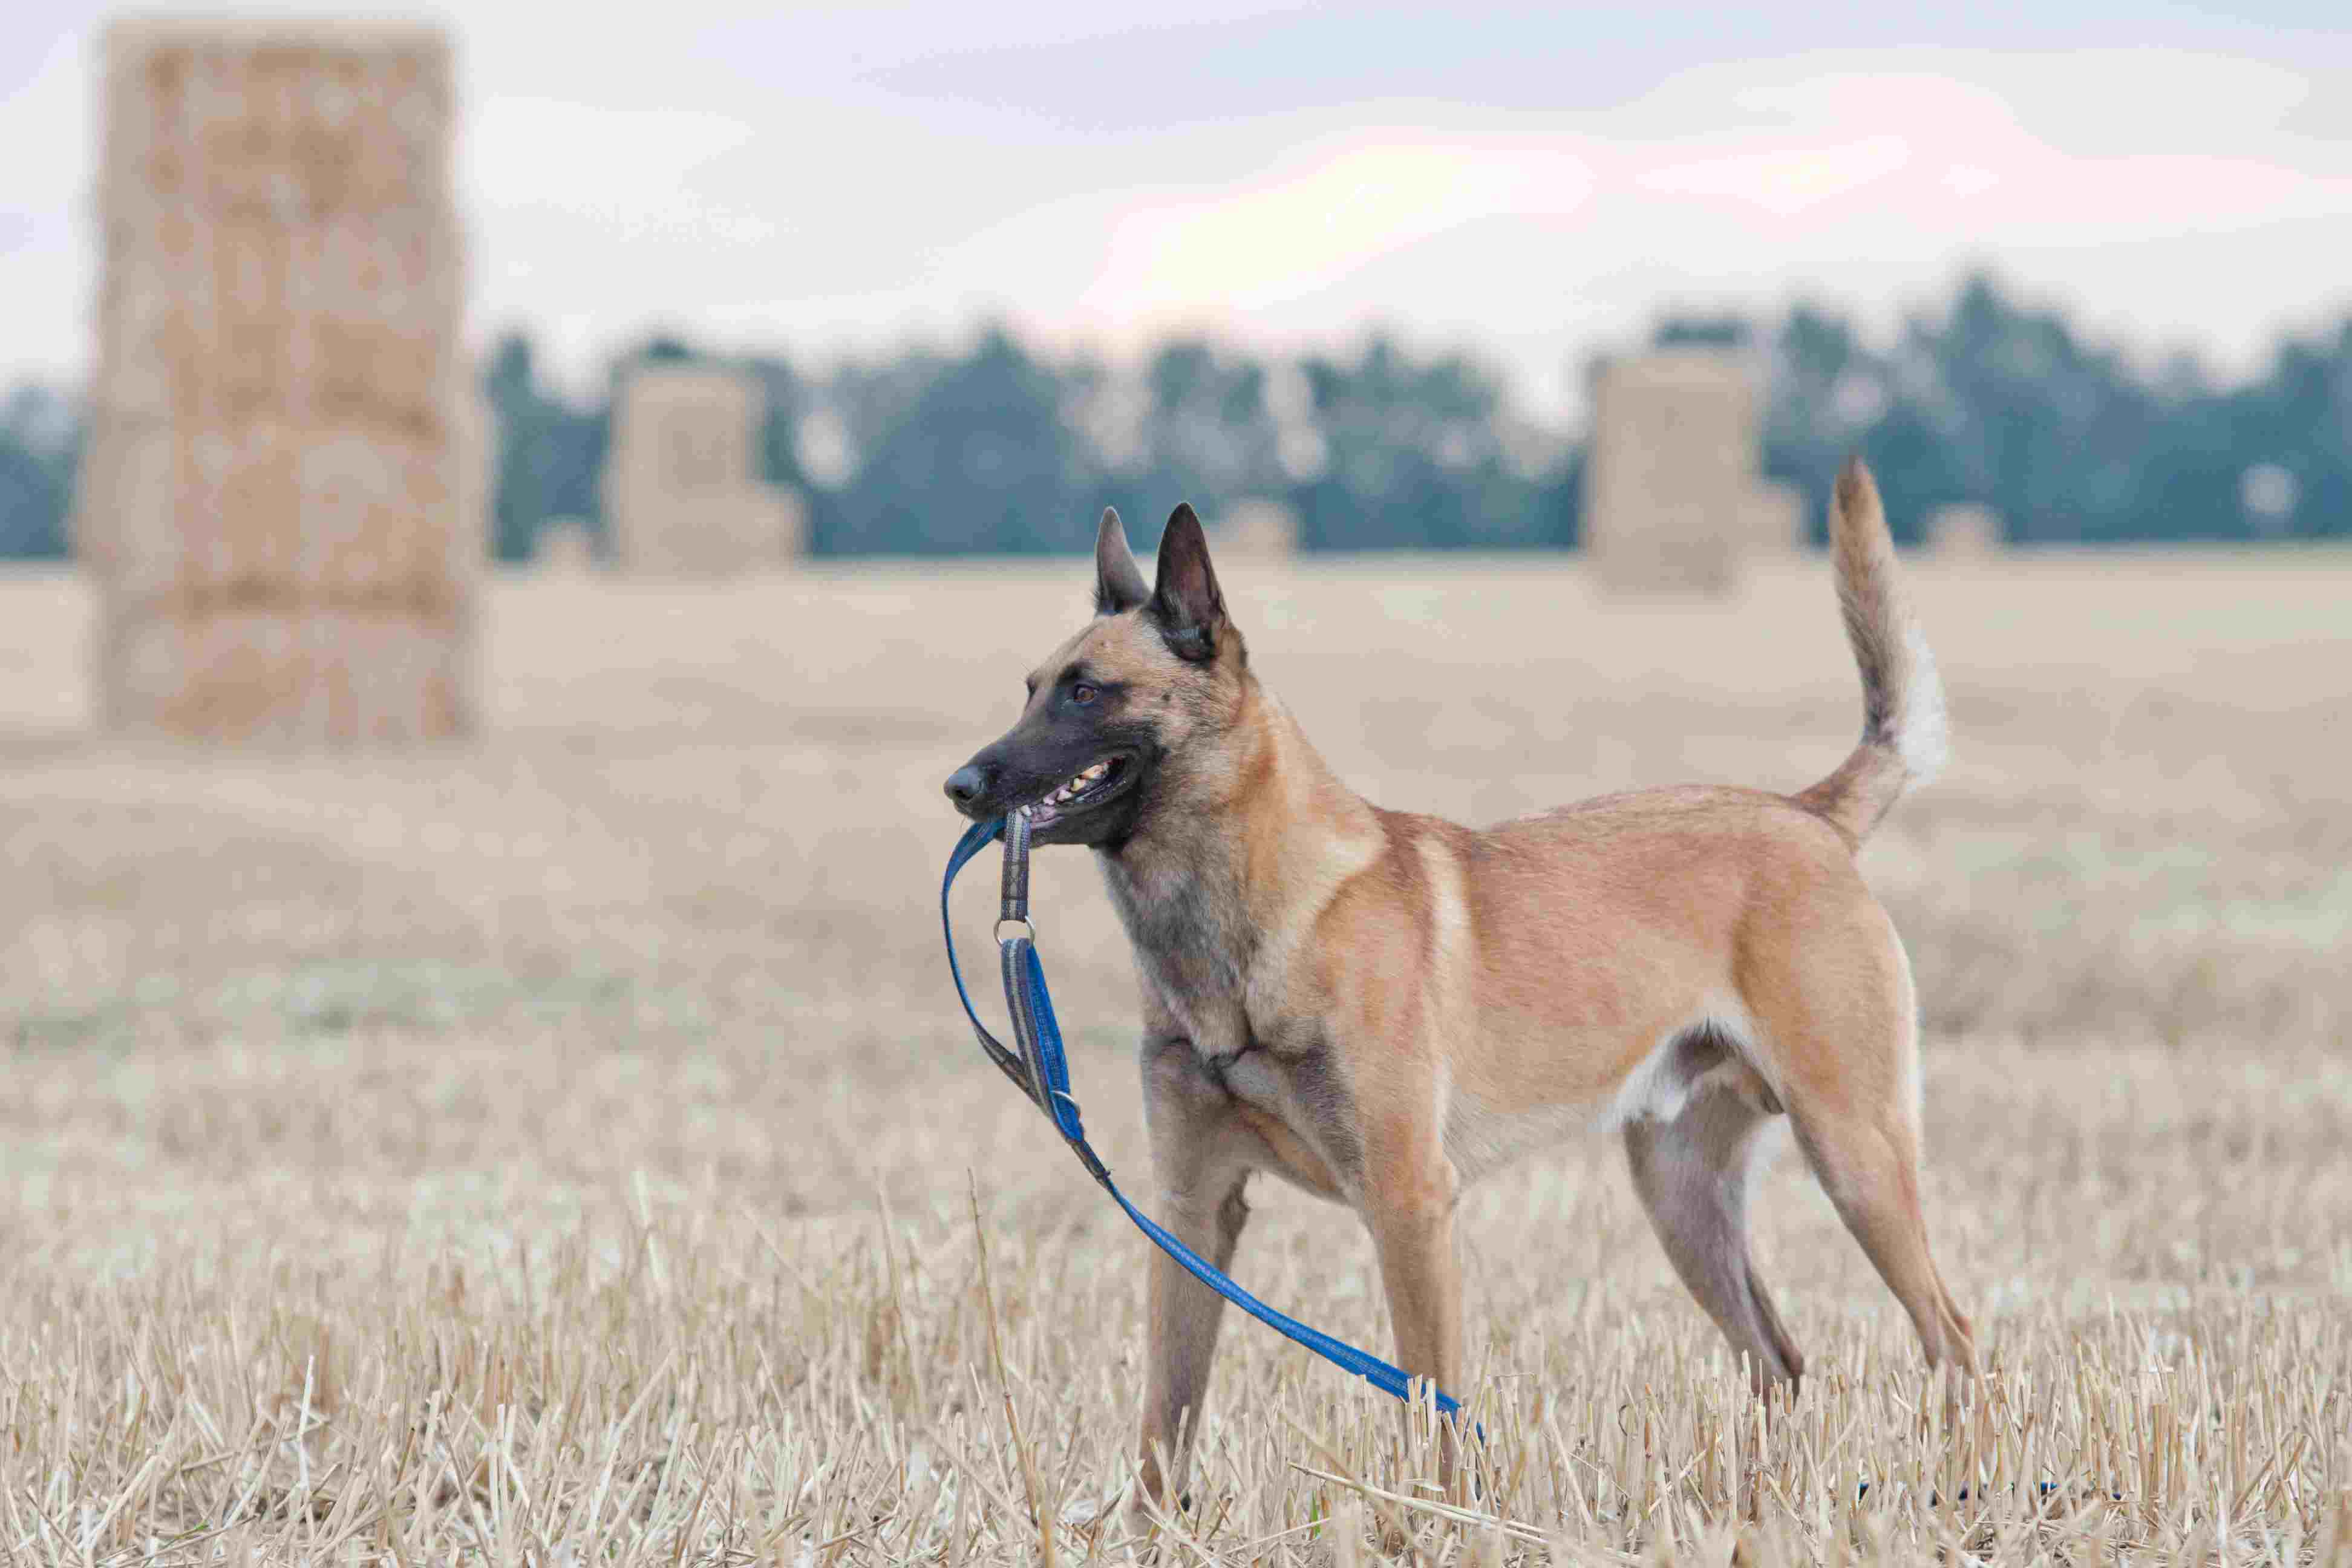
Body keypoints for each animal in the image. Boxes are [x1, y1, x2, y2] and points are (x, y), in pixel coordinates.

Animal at [945, 460, 1975, 1514]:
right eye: (1030, 691)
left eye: (1086, 692)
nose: (961, 786)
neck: (1254, 923)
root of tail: (1806, 817)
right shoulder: (1192, 1212)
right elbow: (1167, 1413)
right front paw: (1153, 1531)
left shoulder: (1408, 1203)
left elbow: (1430, 1402)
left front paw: (1432, 1521)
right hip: (1682, 1195)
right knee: (1778, 1360)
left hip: (1854, 1155)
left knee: (1953, 1339)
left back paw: (1961, 1484)